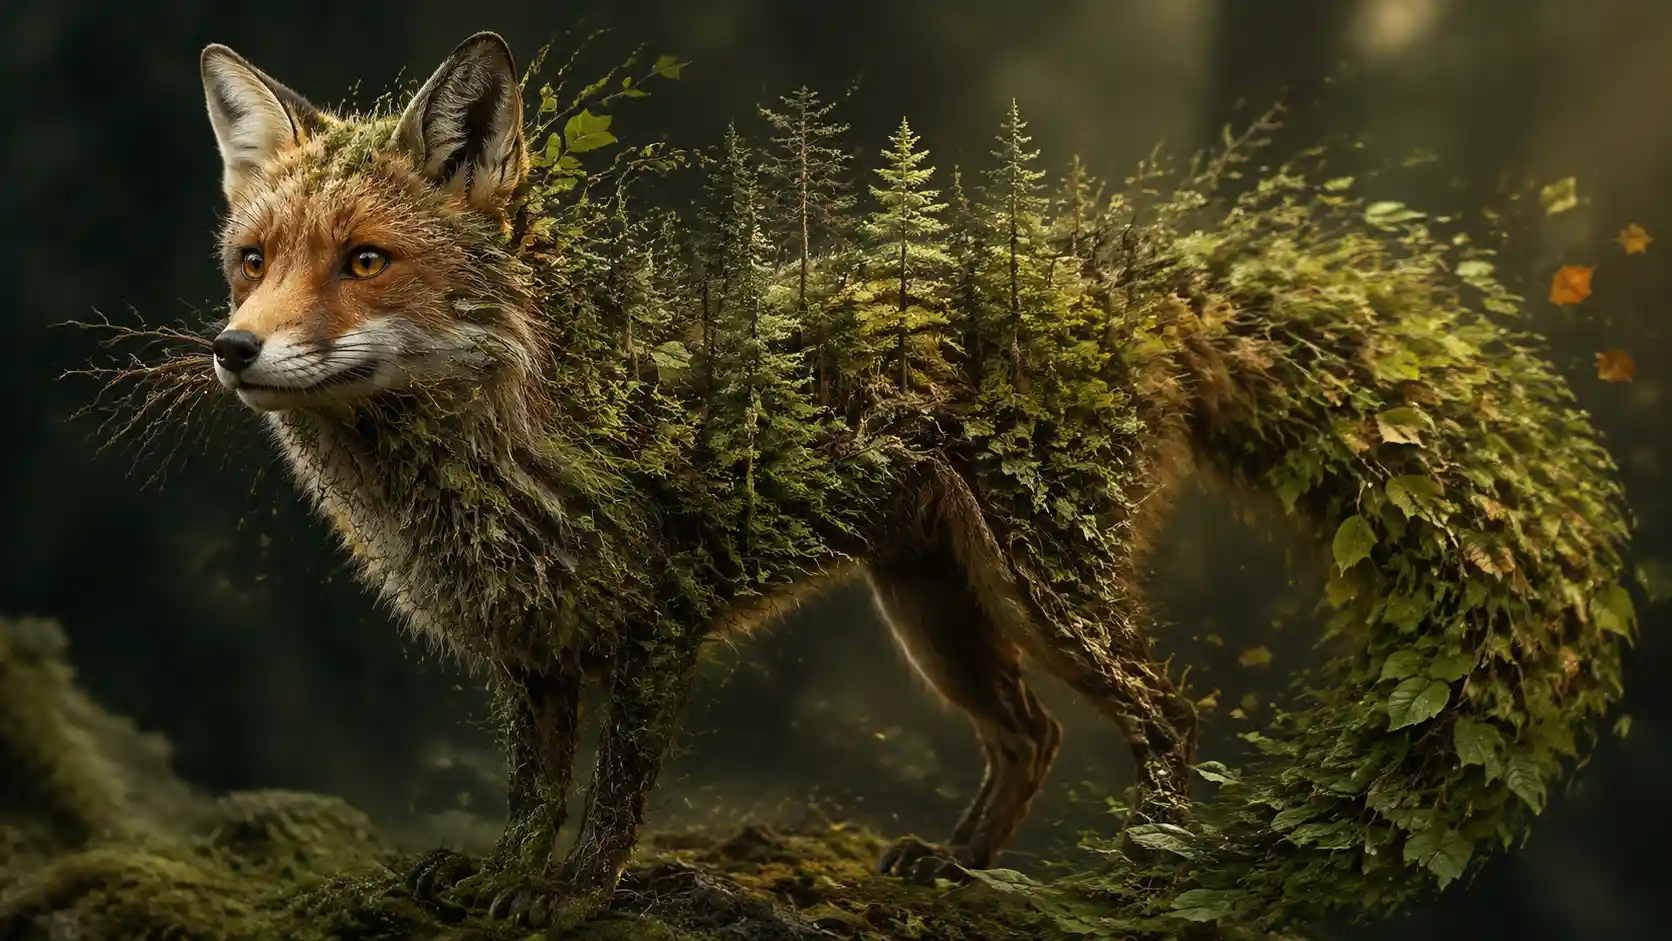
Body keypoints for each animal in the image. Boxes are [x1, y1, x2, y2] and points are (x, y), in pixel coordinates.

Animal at [180, 26, 1631, 934]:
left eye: (365, 261)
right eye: (253, 260)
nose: (232, 350)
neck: (494, 450)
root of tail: (1118, 278)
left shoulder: (657, 629)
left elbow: (612, 797)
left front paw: (571, 892)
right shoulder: (532, 653)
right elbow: (532, 794)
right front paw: (501, 877)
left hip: (1050, 585)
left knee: (1166, 714)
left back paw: (1147, 882)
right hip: (933, 606)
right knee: (1032, 734)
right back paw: (958, 871)